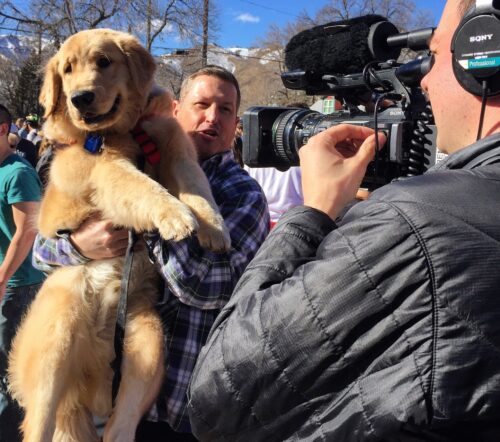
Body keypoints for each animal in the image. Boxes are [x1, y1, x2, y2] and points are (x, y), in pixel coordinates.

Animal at [8, 28, 230, 442]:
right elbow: (140, 185)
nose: (80, 98)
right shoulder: (105, 169)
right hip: (56, 333)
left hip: (147, 341)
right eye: (67, 70)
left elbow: (197, 187)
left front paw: (214, 228)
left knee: (120, 421)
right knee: (39, 419)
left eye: (104, 62)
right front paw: (175, 216)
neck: (125, 131)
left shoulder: (176, 148)